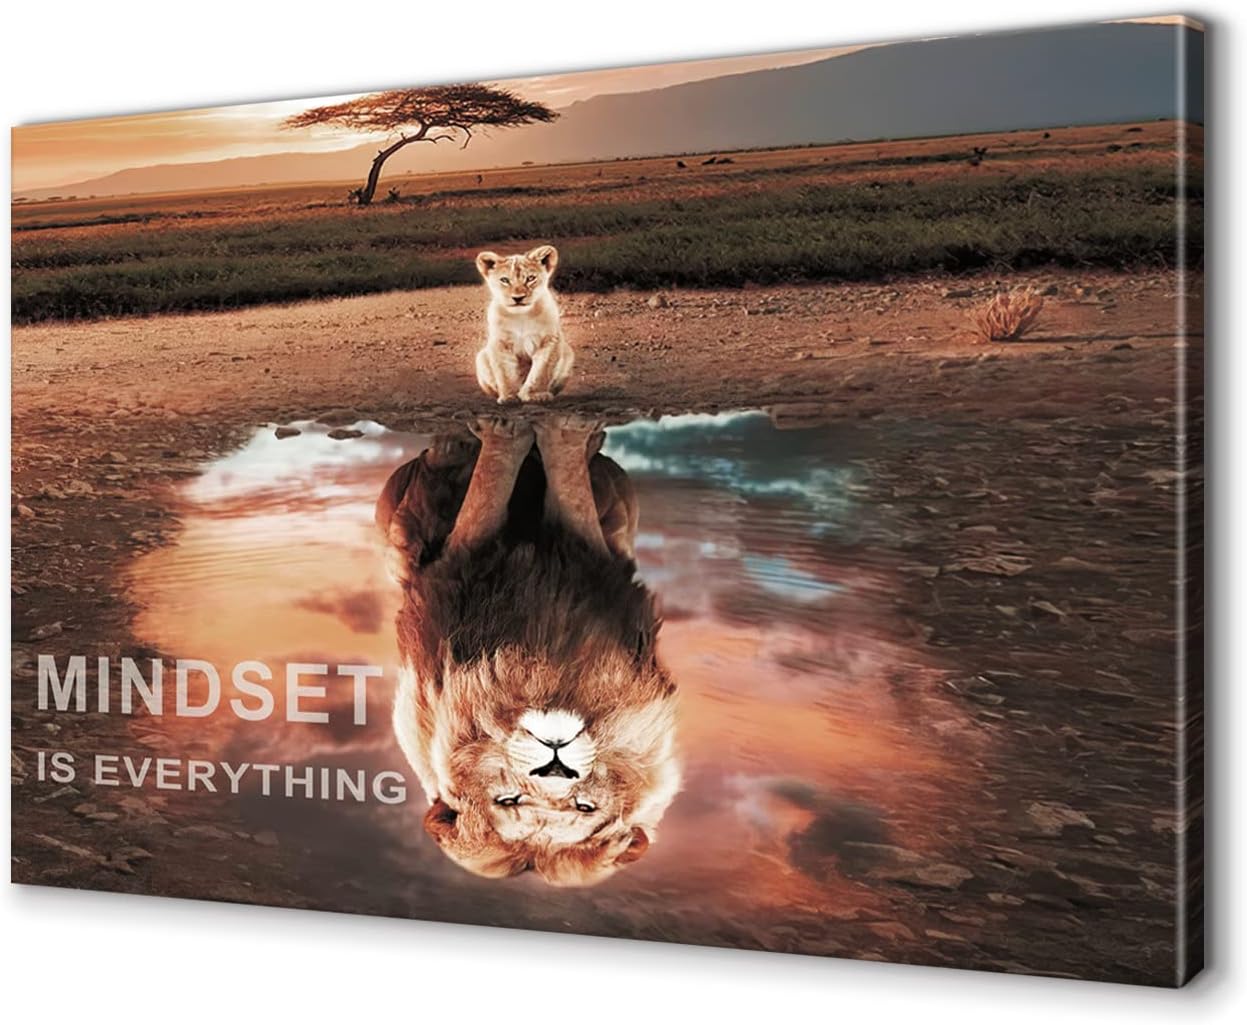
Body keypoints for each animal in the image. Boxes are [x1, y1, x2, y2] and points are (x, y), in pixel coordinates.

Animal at [375, 414, 680, 886]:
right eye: (509, 800)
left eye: (584, 806)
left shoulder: (598, 560)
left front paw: (561, 435)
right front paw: (509, 431)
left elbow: (568, 494)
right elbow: (491, 488)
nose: (556, 764)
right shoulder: (458, 561)